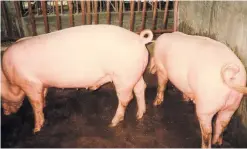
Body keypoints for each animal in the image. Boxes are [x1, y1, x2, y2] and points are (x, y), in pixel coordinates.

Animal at [1, 24, 152, 133]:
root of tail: (140, 40)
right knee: (140, 88)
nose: (5, 113)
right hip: (134, 74)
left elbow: (35, 105)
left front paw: (36, 130)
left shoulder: (30, 84)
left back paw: (112, 123)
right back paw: (140, 114)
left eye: (1, 98)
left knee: (126, 98)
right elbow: (42, 97)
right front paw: (44, 105)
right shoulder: (41, 84)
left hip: (123, 77)